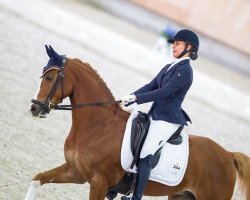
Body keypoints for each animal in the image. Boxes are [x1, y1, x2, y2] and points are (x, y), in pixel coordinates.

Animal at [26, 45, 250, 200]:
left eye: (50, 78)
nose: (34, 108)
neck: (98, 127)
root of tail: (228, 155)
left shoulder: (99, 182)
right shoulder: (76, 172)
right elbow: (37, 179)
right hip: (181, 195)